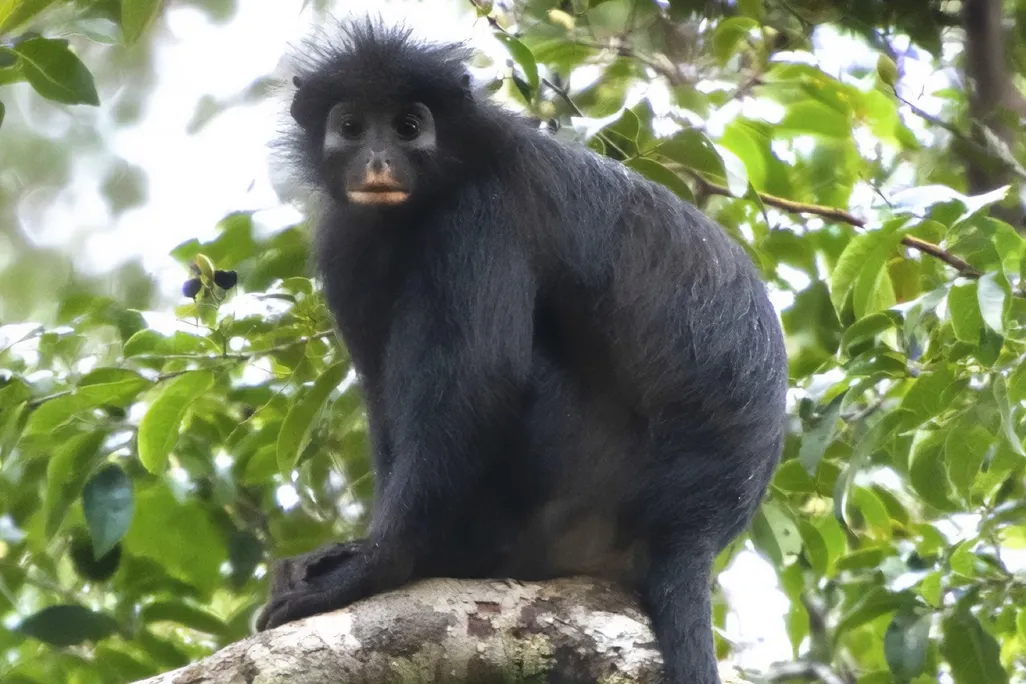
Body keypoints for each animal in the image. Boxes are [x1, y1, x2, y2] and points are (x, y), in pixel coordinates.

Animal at [257, 19, 788, 684]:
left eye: (408, 126)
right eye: (352, 126)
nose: (378, 159)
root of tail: (698, 525)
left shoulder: (481, 212)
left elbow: (481, 379)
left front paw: (379, 565)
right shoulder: (346, 241)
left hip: (579, 481)